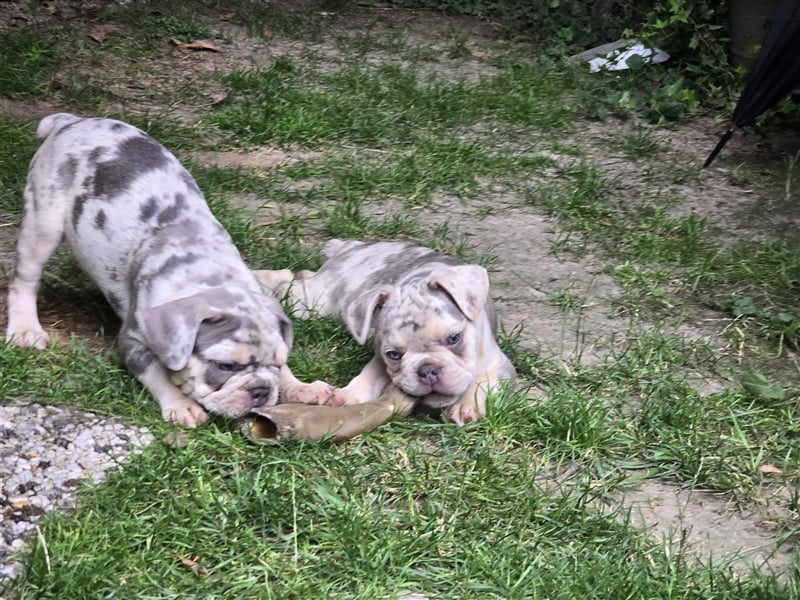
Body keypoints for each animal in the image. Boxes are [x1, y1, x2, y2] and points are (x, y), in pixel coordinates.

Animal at [3, 113, 336, 426]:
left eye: (277, 363)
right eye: (225, 366)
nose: (261, 391)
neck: (208, 276)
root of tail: (71, 121)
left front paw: (301, 387)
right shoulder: (132, 343)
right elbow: (158, 374)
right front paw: (182, 405)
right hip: (43, 224)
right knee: (24, 279)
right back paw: (25, 330)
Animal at [256, 237, 520, 424]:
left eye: (454, 338)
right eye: (394, 355)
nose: (428, 370)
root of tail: (354, 246)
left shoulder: (500, 365)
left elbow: (483, 382)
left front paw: (467, 405)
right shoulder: (379, 359)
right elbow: (368, 376)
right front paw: (347, 395)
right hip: (312, 302)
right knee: (291, 283)